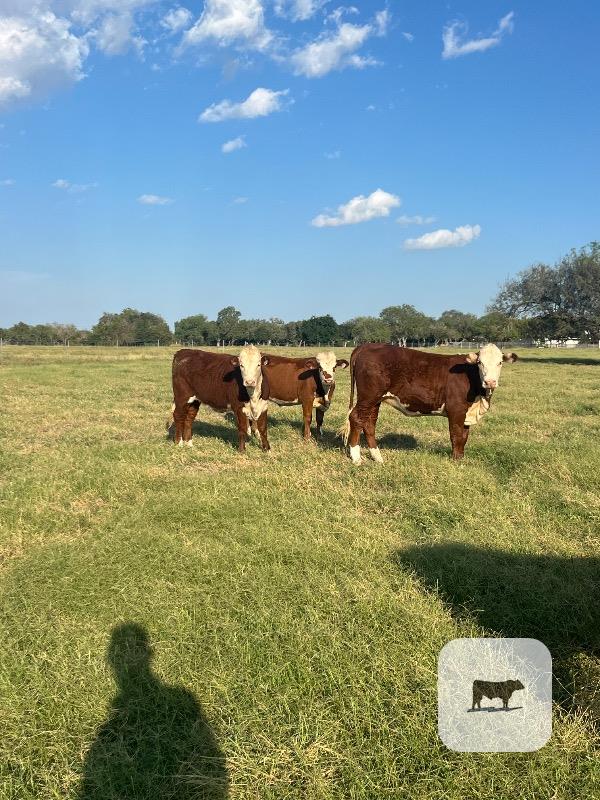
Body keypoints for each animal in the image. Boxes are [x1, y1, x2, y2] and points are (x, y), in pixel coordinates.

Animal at [340, 343, 518, 464]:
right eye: (480, 362)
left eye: (500, 362)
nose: (490, 382)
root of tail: (367, 345)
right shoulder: (456, 410)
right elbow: (456, 436)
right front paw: (455, 461)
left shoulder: (467, 413)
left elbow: (464, 437)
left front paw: (461, 459)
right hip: (368, 396)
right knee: (356, 418)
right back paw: (356, 458)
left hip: (376, 399)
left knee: (369, 423)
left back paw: (377, 457)